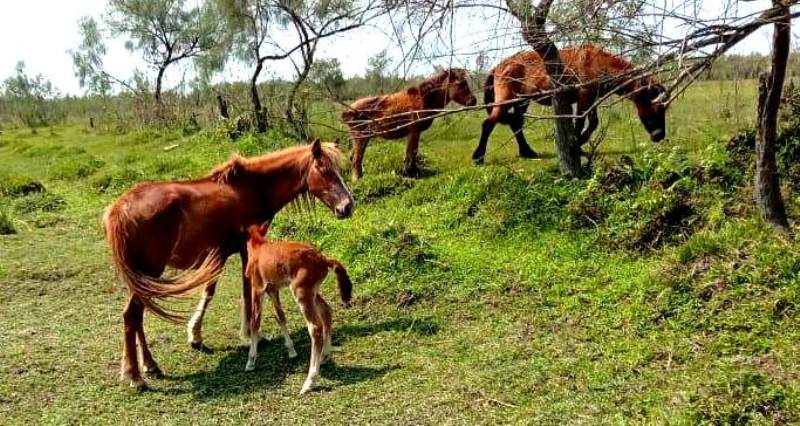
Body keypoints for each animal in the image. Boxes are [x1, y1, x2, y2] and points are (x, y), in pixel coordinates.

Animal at [242, 221, 352, 394]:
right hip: (311, 293)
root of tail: (323, 260)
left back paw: (309, 381)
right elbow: (280, 316)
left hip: (301, 293)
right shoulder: (273, 289)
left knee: (315, 327)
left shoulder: (258, 289)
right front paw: (291, 351)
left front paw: (251, 361)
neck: (258, 245)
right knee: (327, 311)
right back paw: (325, 356)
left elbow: (255, 322)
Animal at [342, 68, 476, 180]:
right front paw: (411, 172)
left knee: (353, 157)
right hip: (361, 137)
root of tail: (347, 112)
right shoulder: (414, 130)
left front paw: (412, 171)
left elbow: (411, 152)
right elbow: (412, 152)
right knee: (356, 158)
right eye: (461, 84)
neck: (424, 99)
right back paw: (357, 179)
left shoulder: (414, 132)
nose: (473, 101)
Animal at [472, 45, 672, 163]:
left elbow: (592, 123)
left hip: (522, 101)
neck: (599, 62)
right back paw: (479, 156)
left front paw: (579, 143)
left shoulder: (592, 99)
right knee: (488, 124)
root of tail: (499, 65)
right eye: (656, 107)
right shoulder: (584, 97)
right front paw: (576, 144)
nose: (659, 135)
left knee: (516, 124)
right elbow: (581, 122)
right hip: (506, 100)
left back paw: (527, 152)